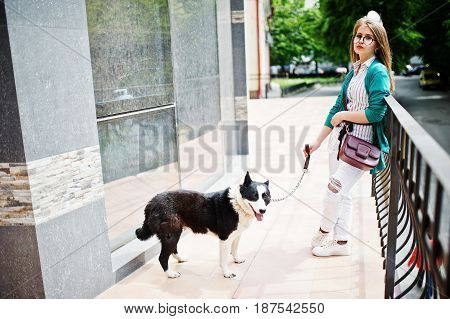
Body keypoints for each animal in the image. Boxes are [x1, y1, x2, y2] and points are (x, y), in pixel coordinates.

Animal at [135, 171, 270, 278]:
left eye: (266, 197)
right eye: (254, 196)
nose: (263, 211)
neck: (237, 203)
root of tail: (152, 202)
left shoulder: (236, 235)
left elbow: (235, 249)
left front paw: (237, 260)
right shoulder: (224, 238)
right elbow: (224, 259)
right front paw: (226, 273)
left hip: (174, 231)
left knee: (173, 250)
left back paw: (180, 259)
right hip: (172, 234)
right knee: (162, 257)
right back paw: (170, 274)